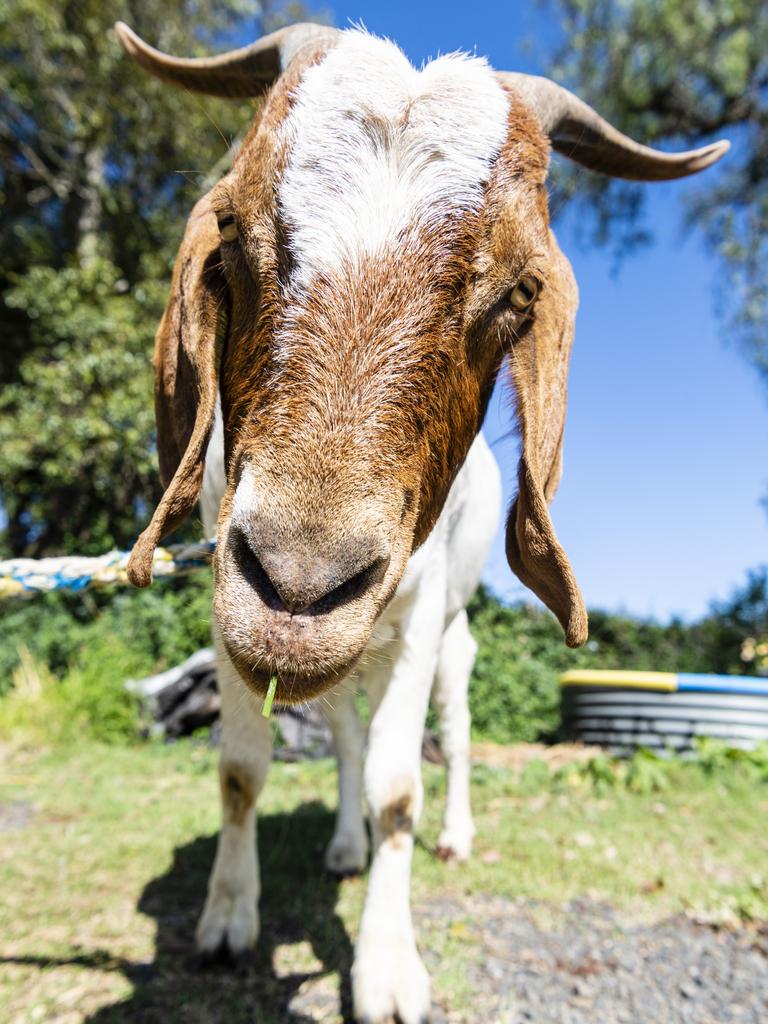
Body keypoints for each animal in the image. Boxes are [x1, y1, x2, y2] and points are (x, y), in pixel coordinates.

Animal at [115, 19, 729, 1019]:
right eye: (235, 228)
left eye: (521, 292)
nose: (299, 581)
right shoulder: (228, 609)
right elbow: (245, 771)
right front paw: (227, 919)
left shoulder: (410, 619)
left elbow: (401, 787)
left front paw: (387, 969)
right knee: (347, 734)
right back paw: (343, 846)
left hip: (445, 639)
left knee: (454, 729)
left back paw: (453, 836)